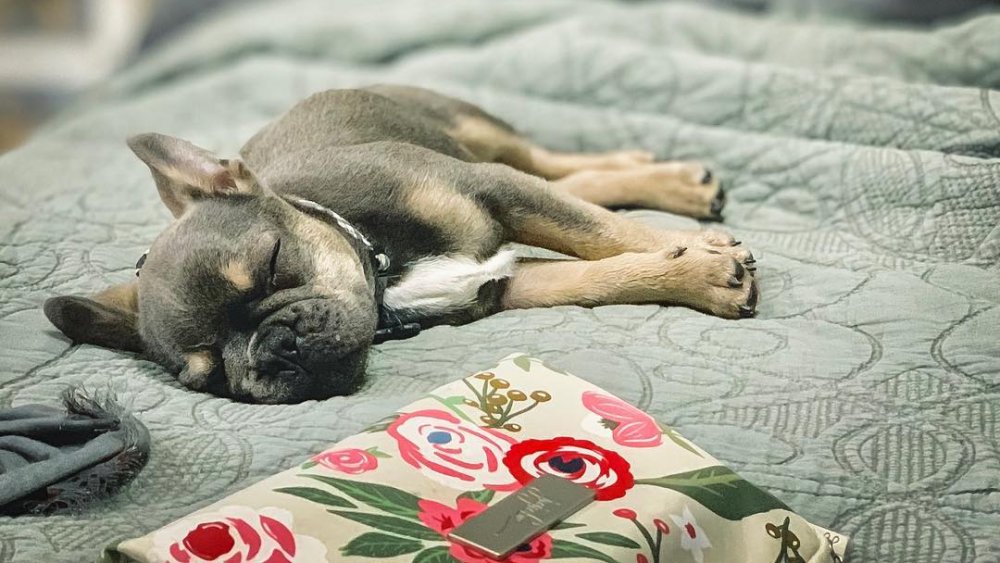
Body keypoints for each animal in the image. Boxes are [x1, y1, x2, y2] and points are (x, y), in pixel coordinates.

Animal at [43, 85, 752, 406]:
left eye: (273, 267)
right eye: (213, 375)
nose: (272, 352)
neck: (383, 270)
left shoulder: (494, 190)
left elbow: (603, 232)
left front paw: (699, 255)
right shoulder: (501, 284)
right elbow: (596, 276)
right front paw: (693, 270)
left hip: (478, 135)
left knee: (556, 164)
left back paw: (670, 180)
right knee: (574, 179)